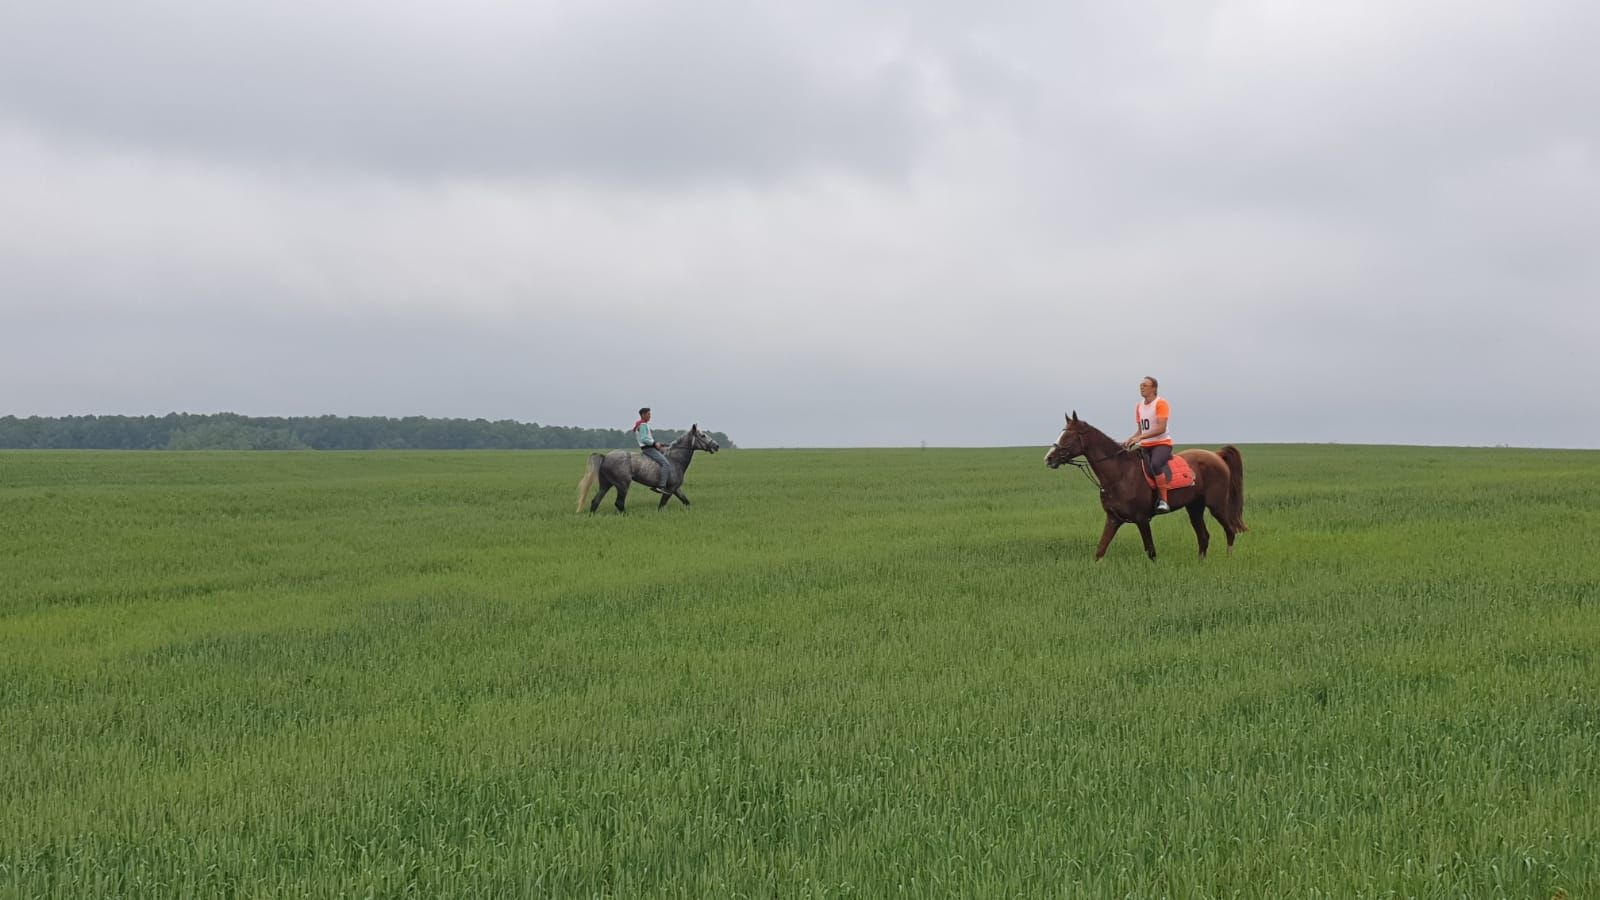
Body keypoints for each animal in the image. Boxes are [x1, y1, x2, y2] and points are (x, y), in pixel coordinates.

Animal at [576, 422, 720, 512]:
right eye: (702, 435)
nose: (717, 446)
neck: (675, 460)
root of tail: (605, 457)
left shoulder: (676, 489)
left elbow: (686, 502)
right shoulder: (670, 489)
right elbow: (661, 506)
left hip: (606, 484)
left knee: (595, 501)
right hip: (622, 485)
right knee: (619, 503)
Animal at [1043, 409, 1254, 557]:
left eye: (1069, 436)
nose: (1049, 458)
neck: (1120, 474)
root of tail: (1217, 455)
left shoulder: (1142, 519)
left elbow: (1151, 551)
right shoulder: (1113, 519)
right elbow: (1100, 550)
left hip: (1216, 506)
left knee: (1230, 531)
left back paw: (1228, 559)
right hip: (1194, 507)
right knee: (1204, 537)